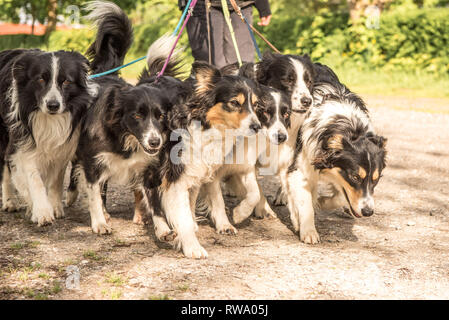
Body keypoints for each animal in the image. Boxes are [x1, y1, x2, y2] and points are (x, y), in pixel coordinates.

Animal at [0, 47, 96, 225]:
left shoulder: (62, 148)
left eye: (66, 82)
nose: (53, 105)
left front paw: (55, 205)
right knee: (4, 167)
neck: (49, 119)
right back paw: (10, 201)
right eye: (40, 79)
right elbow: (34, 179)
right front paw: (41, 211)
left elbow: (56, 179)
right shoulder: (23, 142)